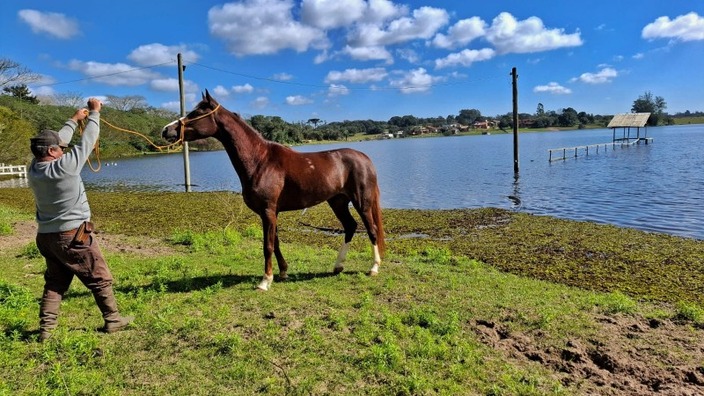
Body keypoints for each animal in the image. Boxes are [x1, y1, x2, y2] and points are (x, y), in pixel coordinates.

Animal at [162, 90, 384, 290]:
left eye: (197, 112)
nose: (166, 130)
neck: (260, 160)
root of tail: (364, 158)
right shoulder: (270, 212)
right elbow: (275, 242)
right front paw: (283, 272)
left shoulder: (268, 211)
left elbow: (267, 245)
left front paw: (264, 281)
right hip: (338, 202)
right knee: (350, 227)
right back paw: (338, 266)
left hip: (361, 203)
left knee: (371, 230)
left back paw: (373, 268)